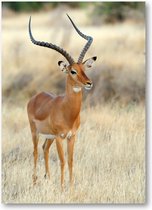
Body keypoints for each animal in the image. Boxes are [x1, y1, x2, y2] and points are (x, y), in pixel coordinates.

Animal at [26, 14, 97, 189]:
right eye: (73, 71)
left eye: (84, 69)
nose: (89, 83)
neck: (67, 111)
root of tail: (35, 97)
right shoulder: (60, 137)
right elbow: (63, 161)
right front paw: (63, 187)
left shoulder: (72, 137)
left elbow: (71, 161)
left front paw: (70, 187)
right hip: (35, 132)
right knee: (35, 151)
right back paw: (35, 181)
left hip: (49, 137)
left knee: (44, 149)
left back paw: (48, 178)